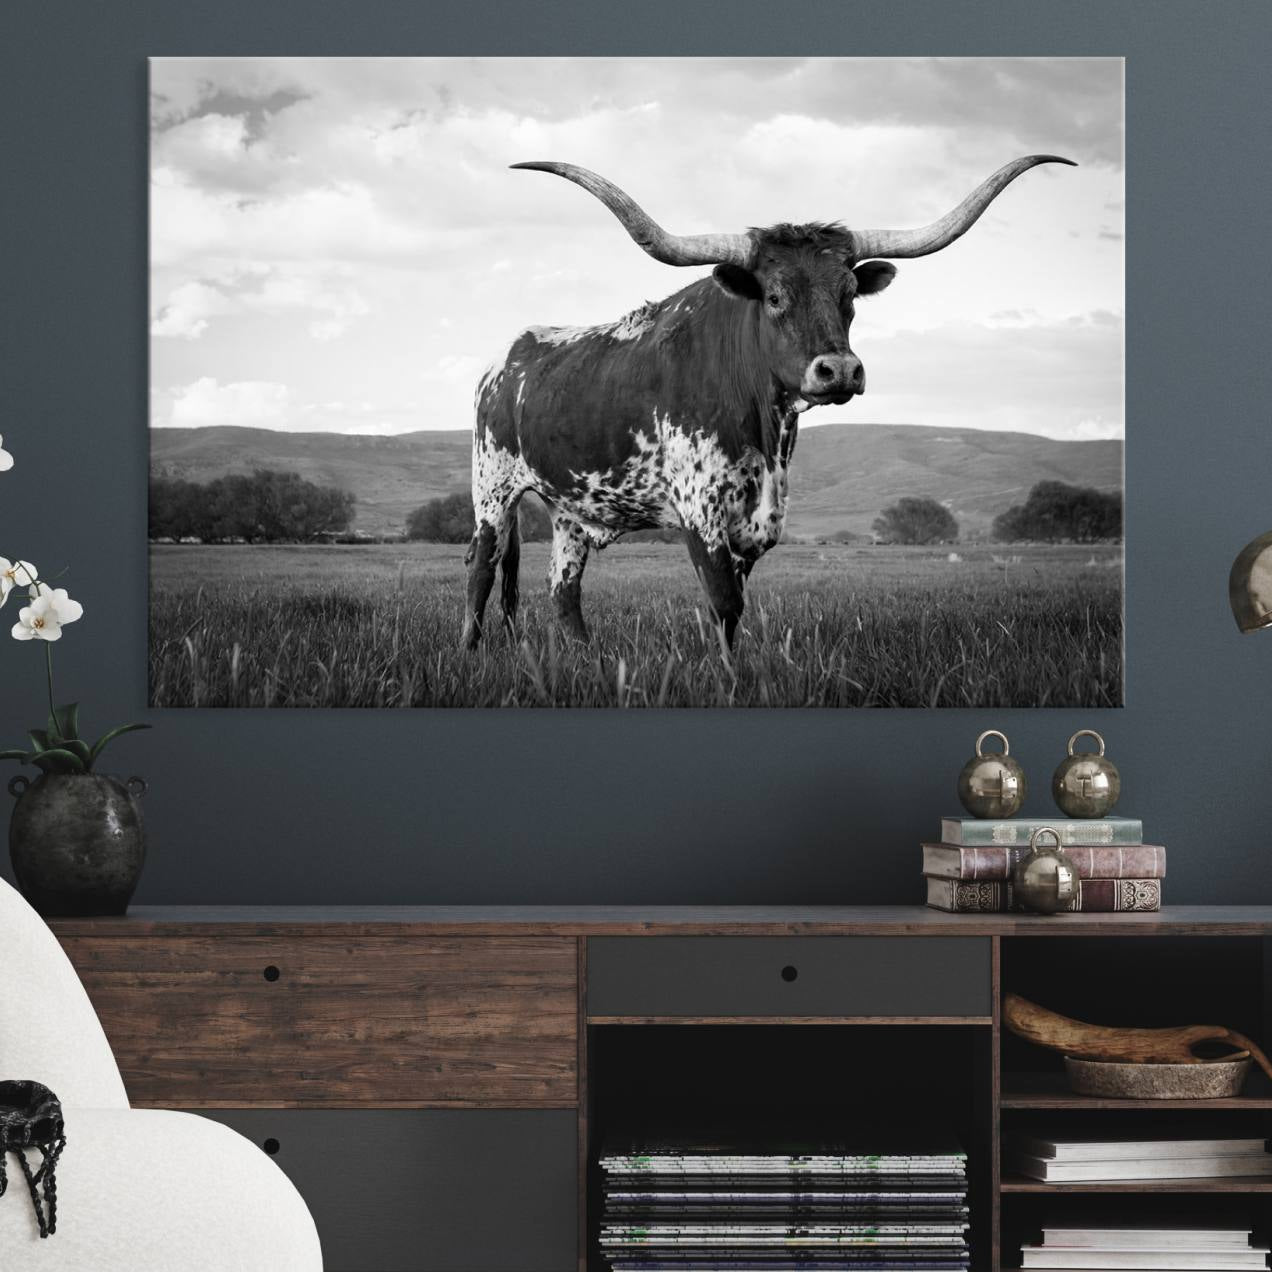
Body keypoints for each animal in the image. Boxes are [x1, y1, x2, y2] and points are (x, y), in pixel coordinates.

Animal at [463, 155, 1074, 649]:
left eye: (850, 296)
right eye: (775, 297)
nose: (839, 370)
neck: (763, 431)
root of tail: (504, 360)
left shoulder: (757, 523)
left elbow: (732, 610)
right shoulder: (699, 510)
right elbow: (723, 603)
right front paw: (726, 678)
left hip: (570, 509)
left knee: (562, 590)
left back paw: (586, 656)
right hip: (492, 490)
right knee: (481, 572)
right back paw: (471, 654)